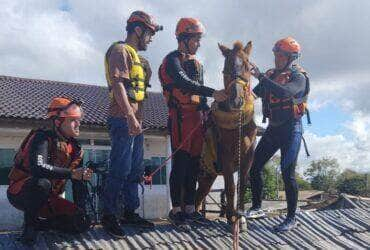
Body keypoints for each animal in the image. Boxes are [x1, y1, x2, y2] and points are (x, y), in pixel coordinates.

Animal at [197, 40, 258, 229]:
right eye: (226, 67)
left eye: (247, 65)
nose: (236, 100)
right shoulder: (226, 158)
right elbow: (230, 186)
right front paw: (232, 218)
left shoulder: (247, 158)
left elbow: (242, 186)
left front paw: (241, 217)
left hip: (208, 177)